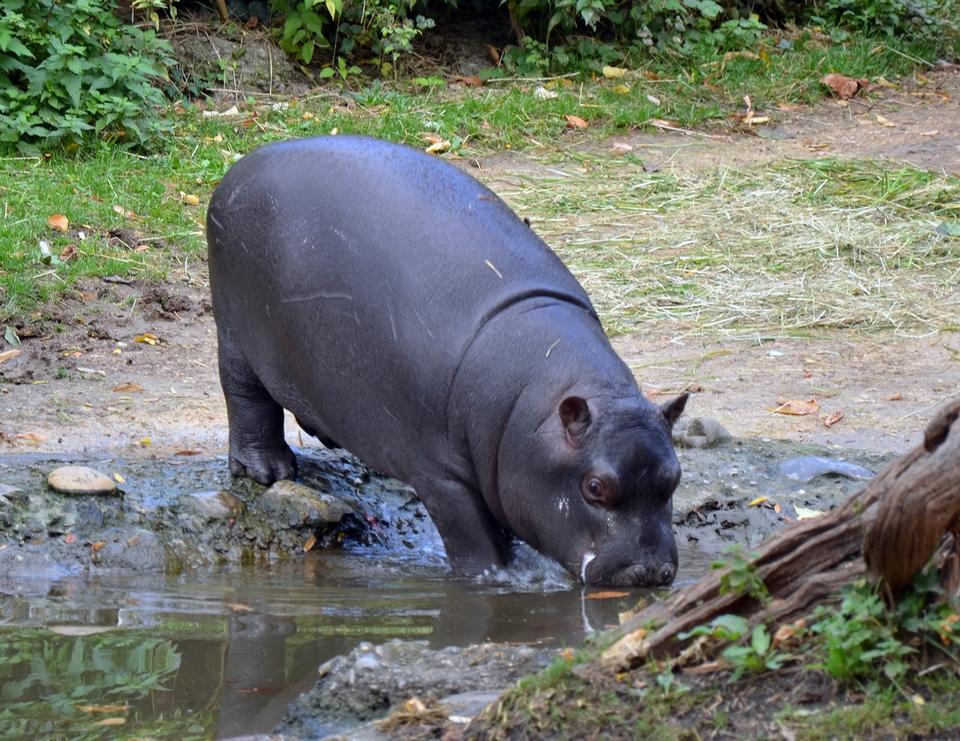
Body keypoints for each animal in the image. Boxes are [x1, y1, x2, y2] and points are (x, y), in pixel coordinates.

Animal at [208, 134, 688, 584]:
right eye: (594, 487)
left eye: (675, 478)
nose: (648, 572)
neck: (531, 403)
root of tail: (238, 169)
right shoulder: (442, 478)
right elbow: (474, 540)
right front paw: (490, 578)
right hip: (235, 336)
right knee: (247, 399)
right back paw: (269, 472)